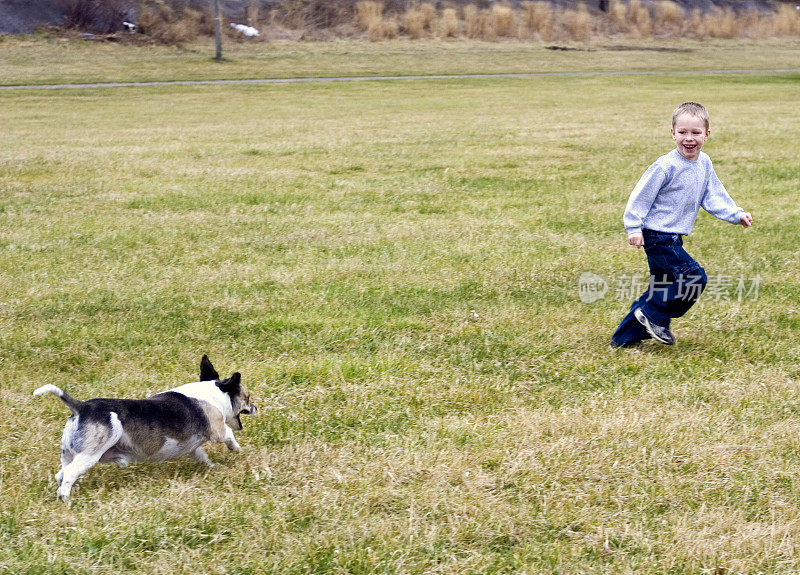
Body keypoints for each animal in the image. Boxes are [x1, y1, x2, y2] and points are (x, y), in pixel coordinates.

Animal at [33, 356, 256, 500]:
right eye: (247, 398)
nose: (256, 407)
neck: (216, 393)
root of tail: (81, 407)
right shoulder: (217, 429)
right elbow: (229, 435)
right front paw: (237, 449)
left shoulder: (193, 447)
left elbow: (201, 455)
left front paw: (212, 467)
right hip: (89, 455)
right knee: (69, 474)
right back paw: (65, 499)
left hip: (69, 454)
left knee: (61, 474)